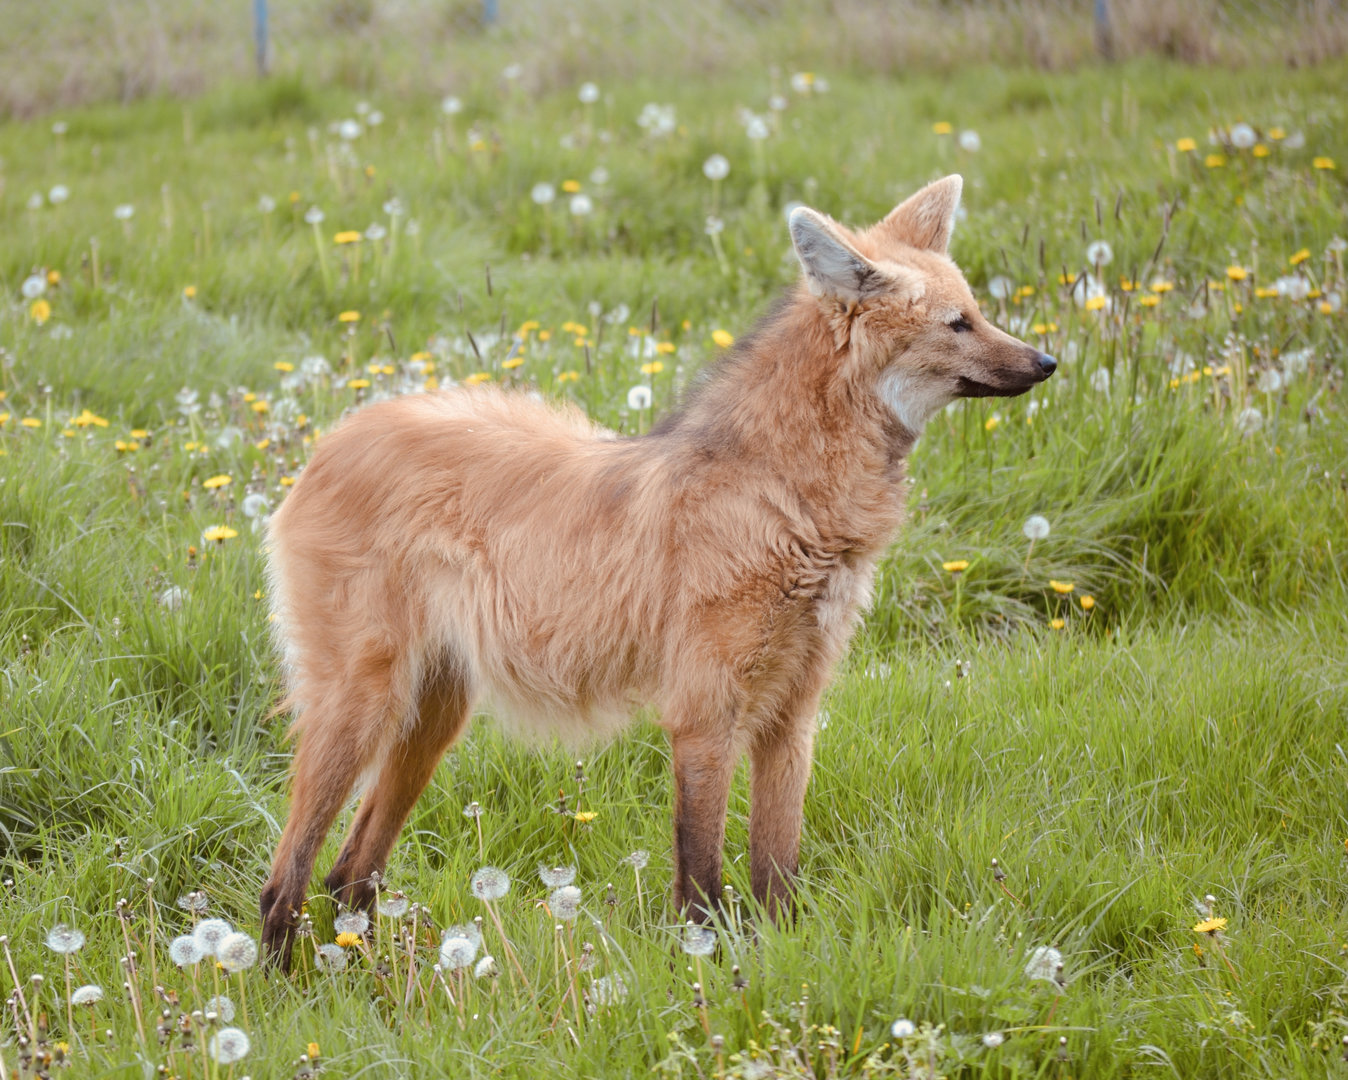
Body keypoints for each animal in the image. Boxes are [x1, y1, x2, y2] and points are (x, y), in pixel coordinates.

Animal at [259, 174, 1056, 966]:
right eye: (958, 324)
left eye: (980, 313)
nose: (1047, 362)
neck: (788, 501)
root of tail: (335, 435)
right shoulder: (704, 712)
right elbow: (700, 877)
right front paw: (705, 972)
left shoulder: (791, 715)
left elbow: (777, 873)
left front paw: (780, 962)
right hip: (363, 703)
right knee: (286, 876)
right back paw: (284, 985)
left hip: (433, 712)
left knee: (349, 872)